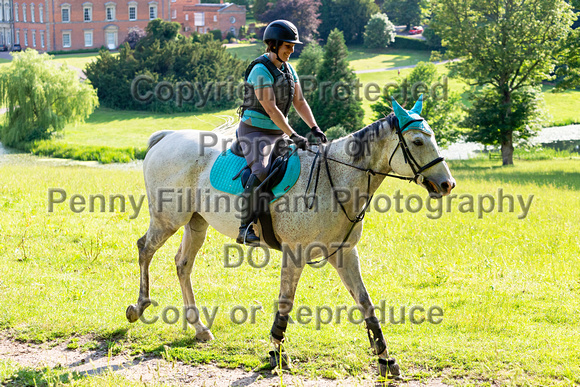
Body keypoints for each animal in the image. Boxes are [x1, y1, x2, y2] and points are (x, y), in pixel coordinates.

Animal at [124, 96, 456, 378]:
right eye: (417, 141)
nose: (447, 184)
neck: (337, 180)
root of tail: (166, 137)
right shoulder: (294, 254)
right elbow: (286, 302)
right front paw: (276, 353)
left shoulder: (344, 254)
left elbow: (366, 303)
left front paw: (385, 359)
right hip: (168, 219)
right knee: (145, 249)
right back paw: (138, 307)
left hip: (196, 223)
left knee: (182, 265)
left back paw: (199, 327)